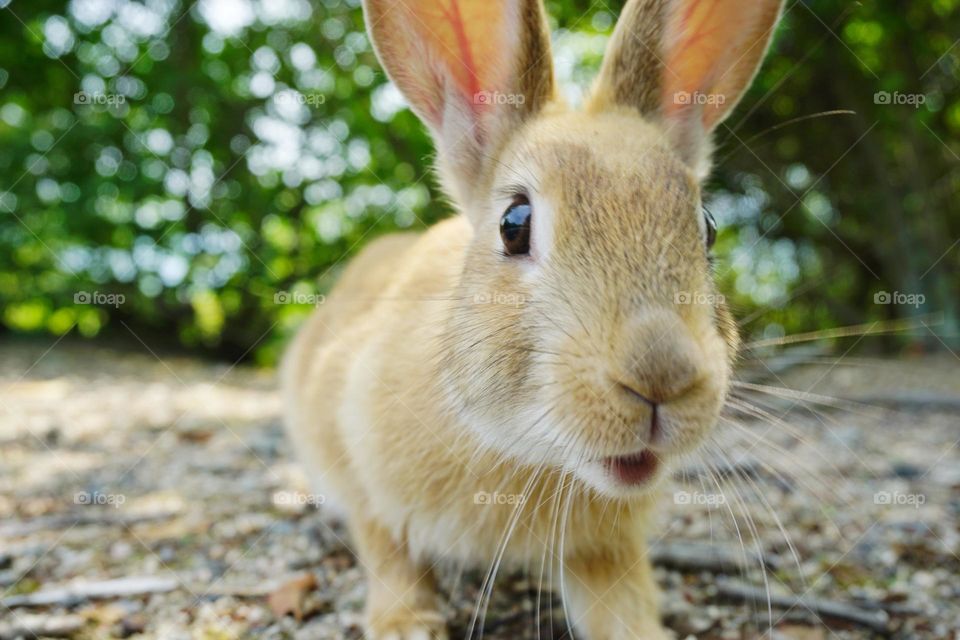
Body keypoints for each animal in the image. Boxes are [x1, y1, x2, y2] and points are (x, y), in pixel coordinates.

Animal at [282, 0, 783, 638]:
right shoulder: (362, 475)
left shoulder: (605, 550)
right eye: (514, 224)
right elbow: (387, 552)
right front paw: (406, 624)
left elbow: (623, 604)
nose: (662, 377)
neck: (532, 456)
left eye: (709, 227)